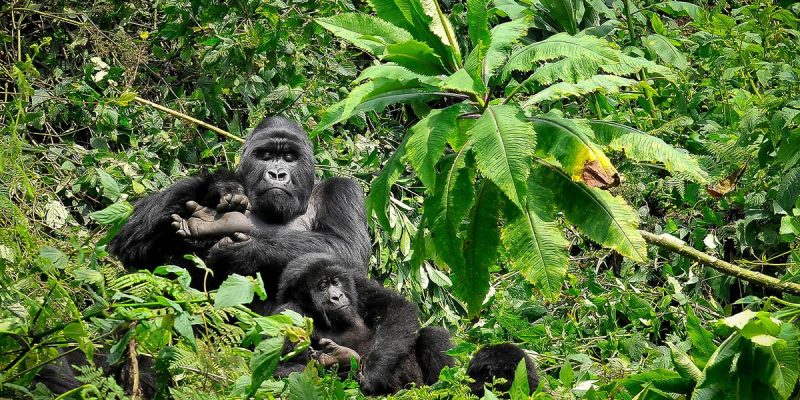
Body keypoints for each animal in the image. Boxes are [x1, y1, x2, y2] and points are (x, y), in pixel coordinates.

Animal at [107, 115, 372, 312]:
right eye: (266, 156)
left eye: (289, 157)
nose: (277, 174)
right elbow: (131, 243)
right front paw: (222, 186)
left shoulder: (342, 190)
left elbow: (347, 252)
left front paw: (241, 252)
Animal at [274, 253, 454, 394]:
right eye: (323, 286)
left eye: (336, 282)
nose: (337, 296)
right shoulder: (287, 314)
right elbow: (287, 369)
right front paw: (340, 362)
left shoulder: (357, 282)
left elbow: (396, 307)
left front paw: (373, 371)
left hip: (417, 385)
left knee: (433, 334)